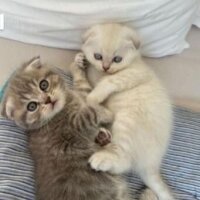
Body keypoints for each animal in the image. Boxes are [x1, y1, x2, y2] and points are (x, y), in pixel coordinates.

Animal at [0, 55, 131, 200]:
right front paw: (107, 113)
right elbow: (90, 112)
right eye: (32, 106)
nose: (48, 100)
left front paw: (76, 65)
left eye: (43, 85)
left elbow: (83, 88)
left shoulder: (80, 97)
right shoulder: (74, 125)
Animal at [82, 23, 174, 200]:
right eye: (98, 56)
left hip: (127, 121)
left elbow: (109, 82)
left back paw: (100, 159)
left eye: (117, 59)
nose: (106, 67)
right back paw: (102, 136)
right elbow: (95, 78)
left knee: (125, 161)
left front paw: (92, 98)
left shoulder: (134, 74)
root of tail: (152, 165)